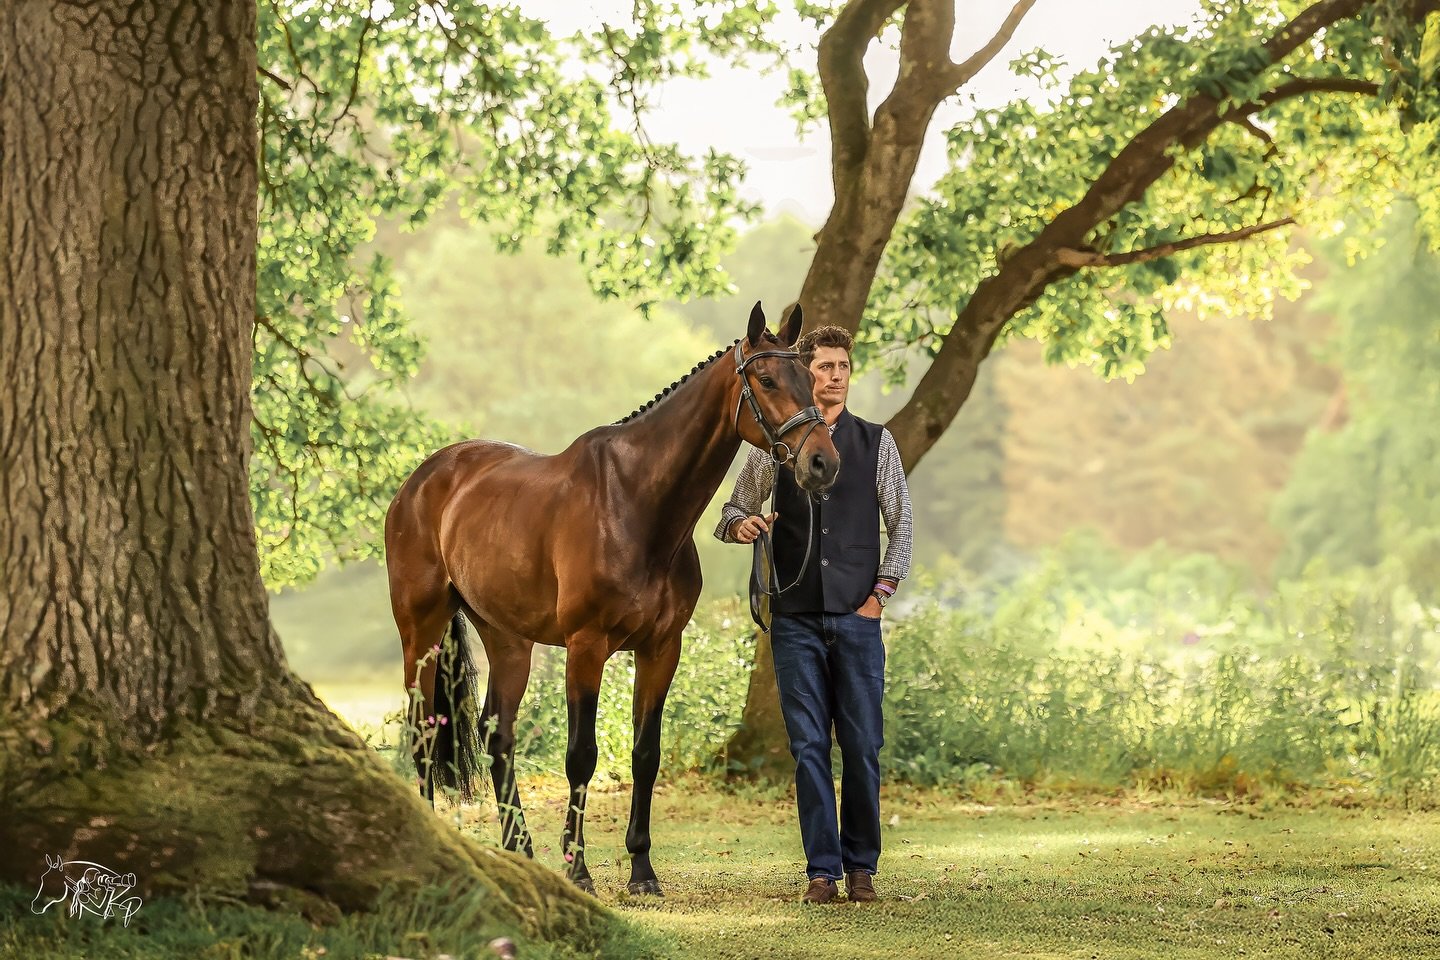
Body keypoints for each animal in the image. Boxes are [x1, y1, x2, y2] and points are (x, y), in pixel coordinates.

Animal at [384, 302, 840, 894]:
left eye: (810, 376)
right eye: (765, 379)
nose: (823, 464)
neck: (636, 504)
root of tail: (420, 481)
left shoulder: (661, 649)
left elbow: (646, 754)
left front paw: (642, 871)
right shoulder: (587, 646)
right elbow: (582, 755)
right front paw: (578, 869)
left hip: (507, 640)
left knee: (497, 734)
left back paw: (520, 849)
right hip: (421, 631)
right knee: (422, 731)